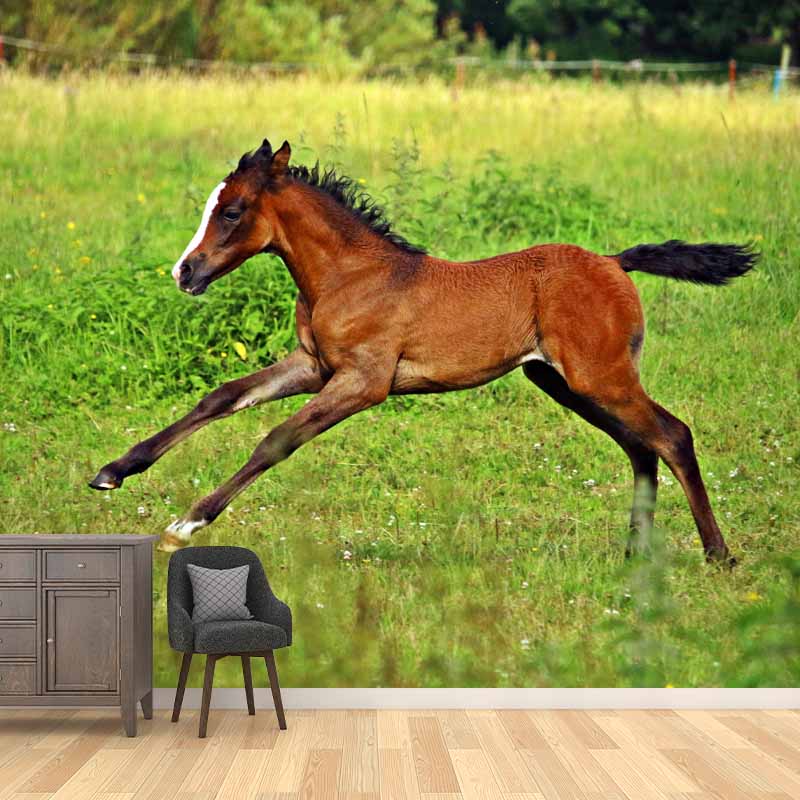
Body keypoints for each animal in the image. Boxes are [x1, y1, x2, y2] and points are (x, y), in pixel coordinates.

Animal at [90, 139, 756, 561]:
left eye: (231, 211)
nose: (185, 272)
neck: (351, 275)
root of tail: (615, 262)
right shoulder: (314, 367)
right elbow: (222, 397)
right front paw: (113, 473)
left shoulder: (363, 383)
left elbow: (276, 440)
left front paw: (184, 524)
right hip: (566, 383)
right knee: (641, 448)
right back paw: (633, 555)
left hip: (601, 377)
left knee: (672, 436)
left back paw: (717, 555)